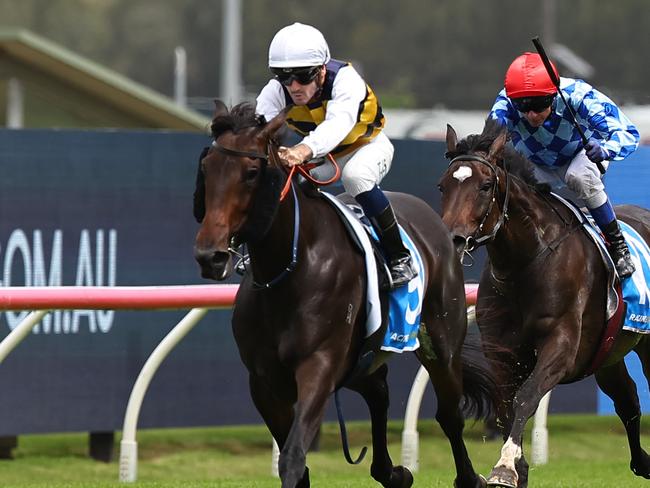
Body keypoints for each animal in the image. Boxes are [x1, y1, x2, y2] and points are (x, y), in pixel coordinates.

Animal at [190, 101, 494, 486]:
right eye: (206, 169)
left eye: (251, 172)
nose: (209, 255)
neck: (290, 268)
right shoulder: (263, 382)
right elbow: (294, 459)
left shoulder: (319, 365)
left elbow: (293, 456)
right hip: (361, 360)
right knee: (379, 392)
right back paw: (393, 472)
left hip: (441, 342)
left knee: (449, 415)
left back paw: (469, 477)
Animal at [438, 119, 648, 488]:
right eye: (442, 186)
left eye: (486, 185)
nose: (453, 240)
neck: (525, 263)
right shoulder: (502, 354)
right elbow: (506, 407)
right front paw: (518, 469)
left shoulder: (561, 344)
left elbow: (527, 397)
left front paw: (504, 467)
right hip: (609, 353)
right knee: (628, 400)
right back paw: (643, 462)